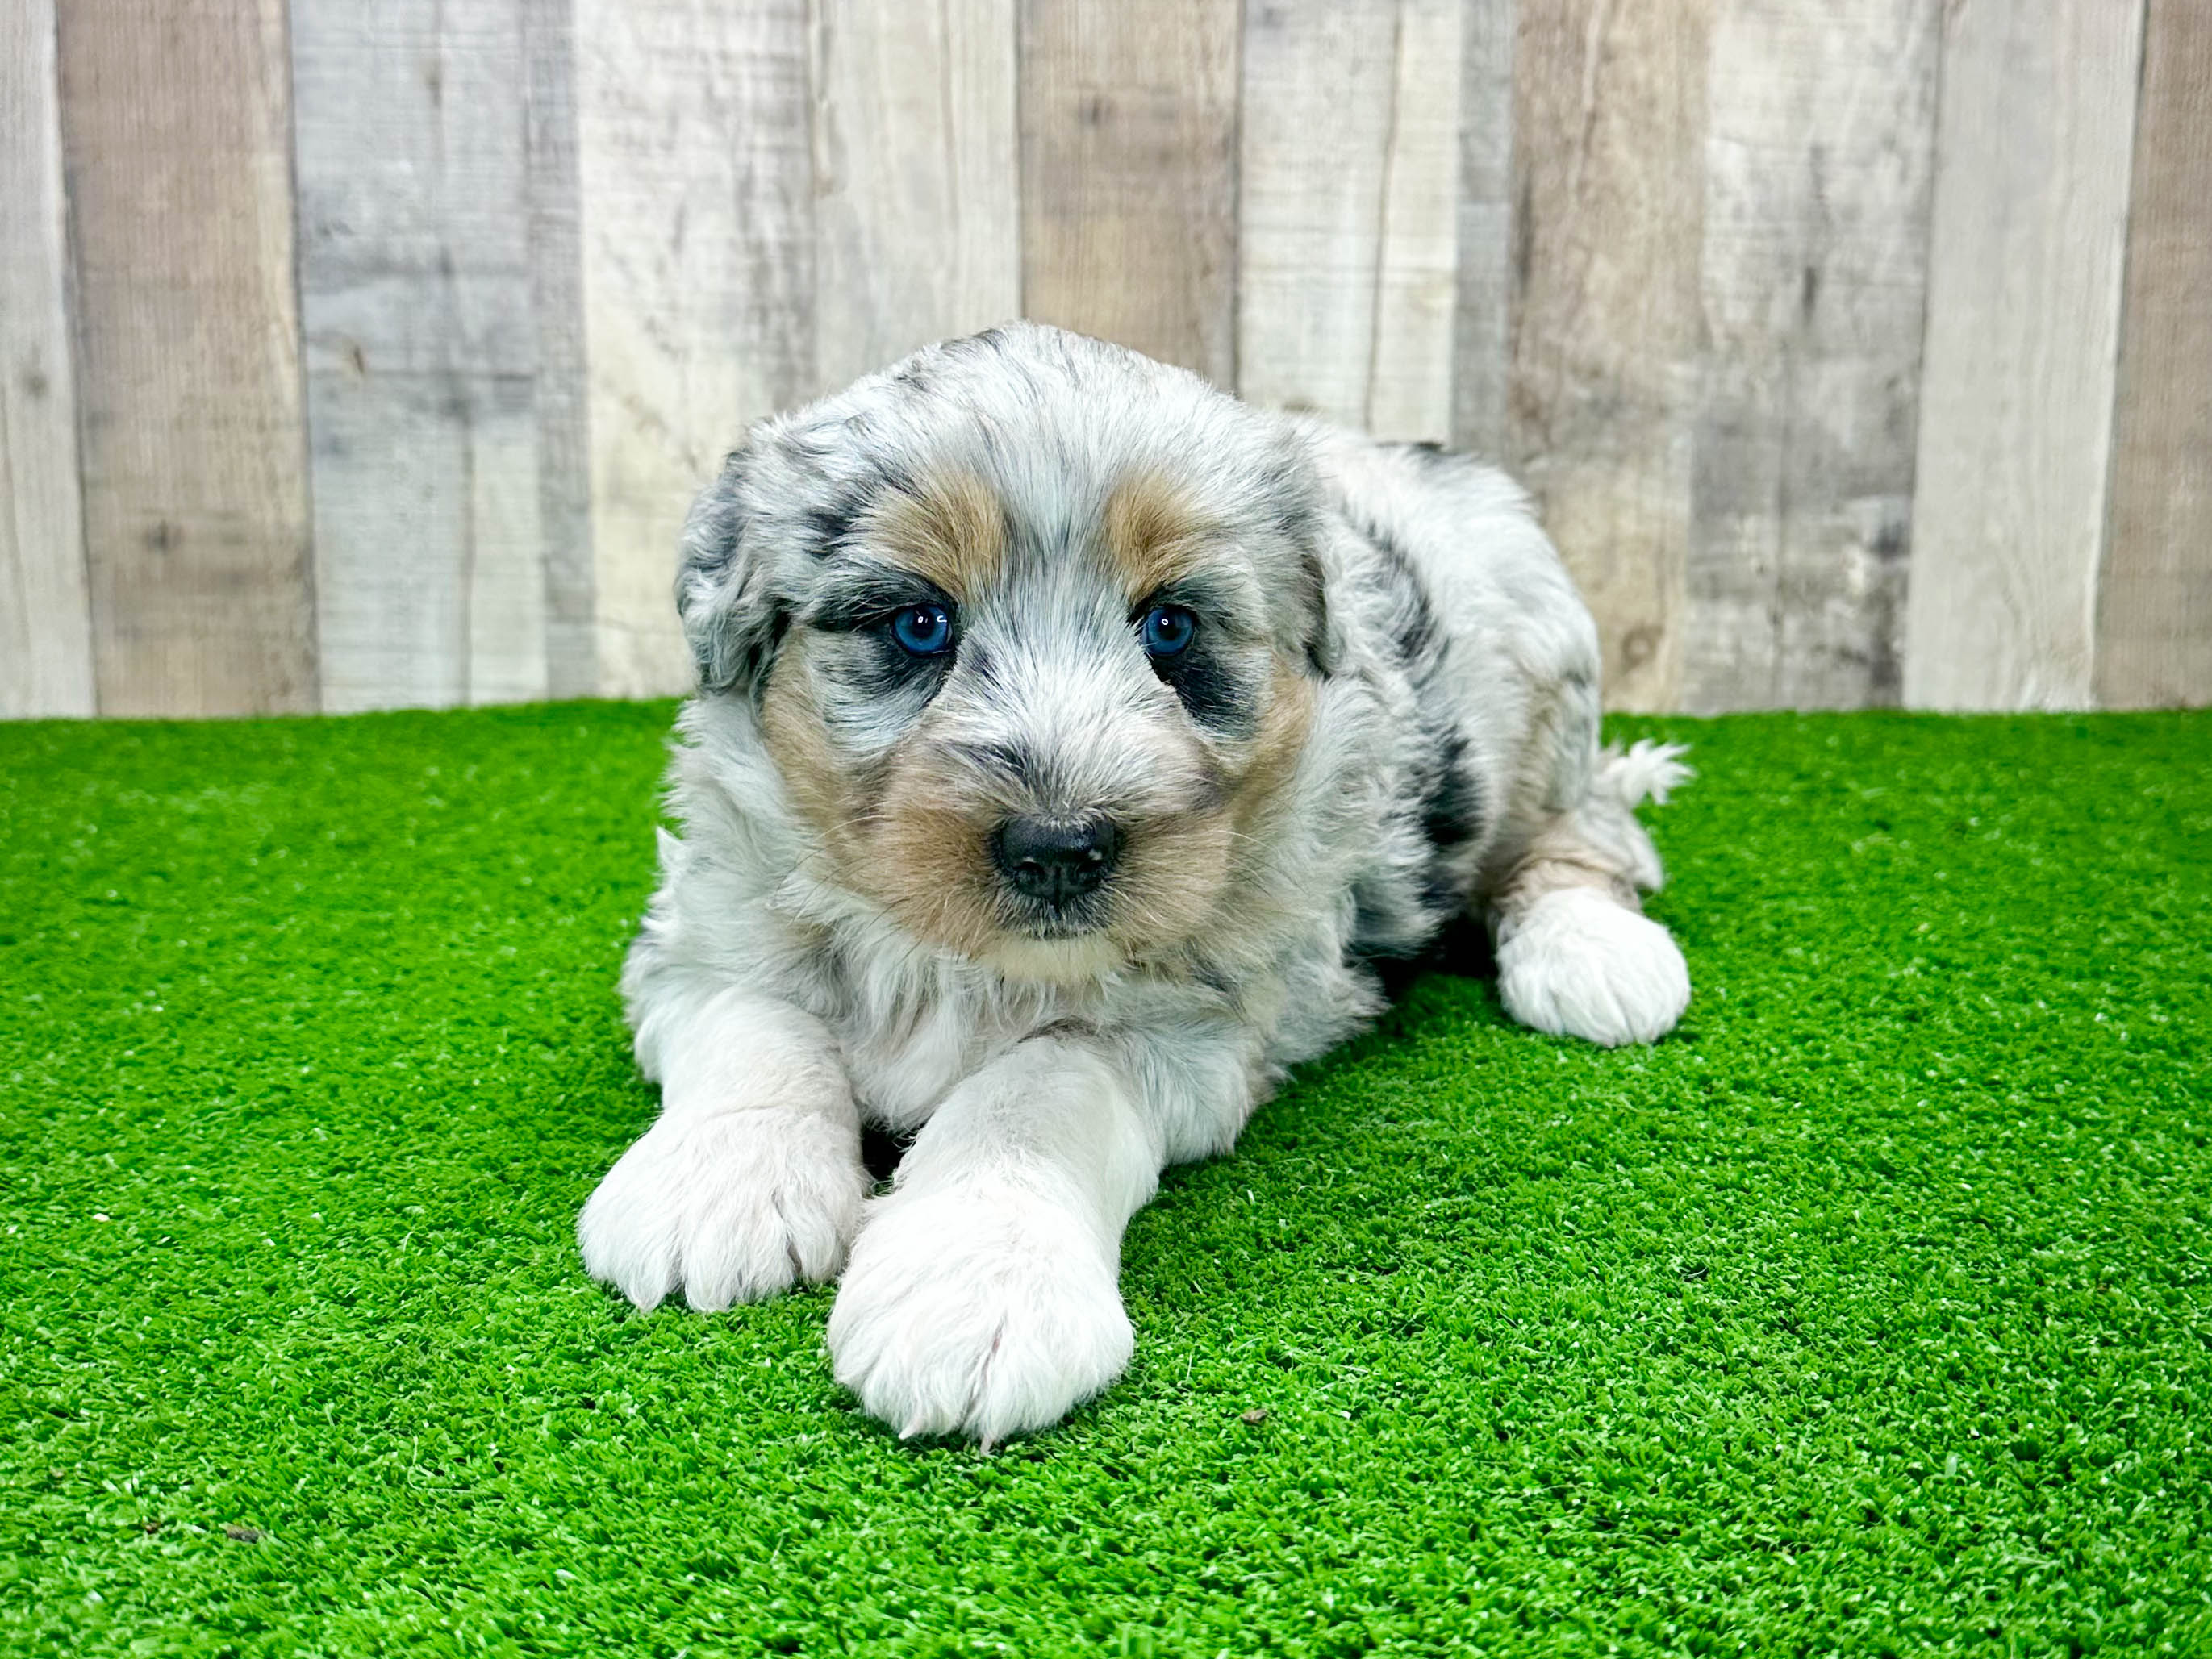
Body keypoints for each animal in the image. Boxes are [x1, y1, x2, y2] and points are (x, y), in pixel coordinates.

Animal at [574, 320, 1689, 1442]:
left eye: (1172, 627)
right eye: (919, 624)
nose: (1060, 846)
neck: (962, 959)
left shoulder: (1192, 1028)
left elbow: (1032, 1092)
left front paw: (976, 1285)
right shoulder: (703, 922)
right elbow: (759, 1023)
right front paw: (719, 1188)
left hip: (1546, 693)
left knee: (1584, 830)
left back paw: (1597, 956)